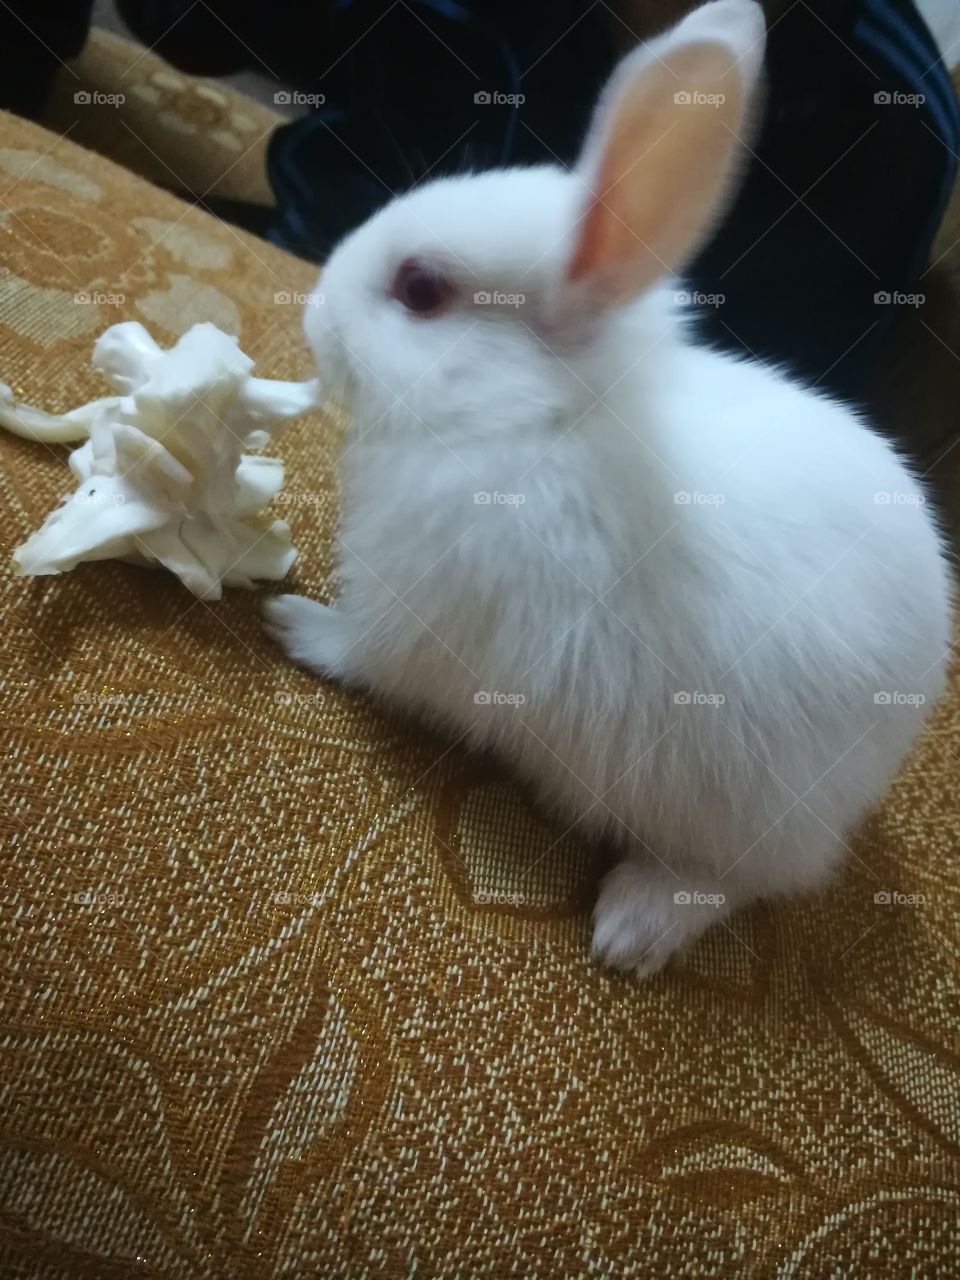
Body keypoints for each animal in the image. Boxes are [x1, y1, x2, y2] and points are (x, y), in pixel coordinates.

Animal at [265, 0, 954, 979]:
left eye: (421, 289)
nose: (316, 315)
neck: (537, 421)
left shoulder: (416, 624)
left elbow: (362, 655)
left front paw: (292, 622)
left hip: (743, 817)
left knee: (737, 883)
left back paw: (631, 927)